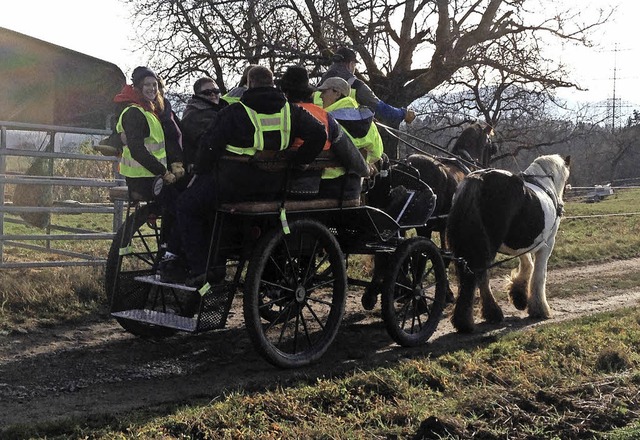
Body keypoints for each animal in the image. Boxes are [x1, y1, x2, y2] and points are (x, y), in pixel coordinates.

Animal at [444, 153, 568, 332]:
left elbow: (527, 265)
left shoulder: (523, 245)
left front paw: (519, 296)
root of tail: (478, 179)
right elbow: (539, 274)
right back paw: (485, 315)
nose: (562, 206)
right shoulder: (546, 245)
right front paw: (539, 308)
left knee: (475, 276)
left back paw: (476, 317)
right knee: (480, 275)